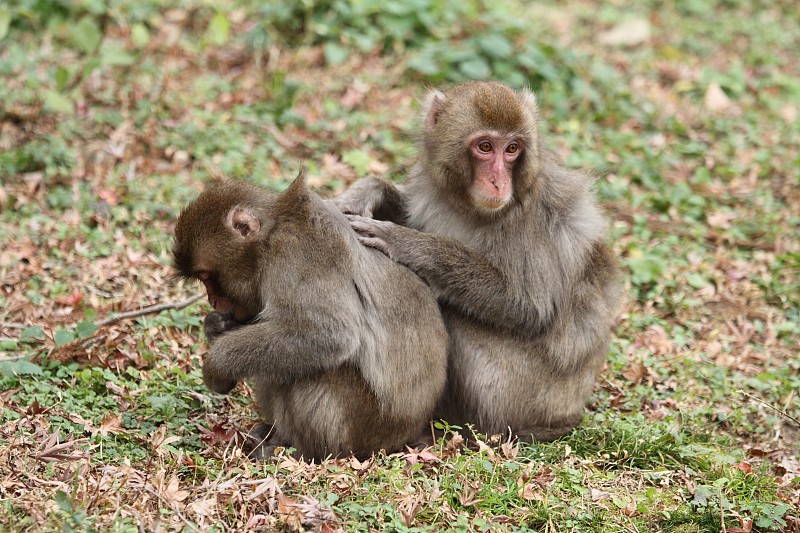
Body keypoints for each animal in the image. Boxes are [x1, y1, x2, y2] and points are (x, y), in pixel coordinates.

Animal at [173, 174, 450, 458]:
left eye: (207, 277)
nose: (212, 299)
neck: (272, 233)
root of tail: (406, 434)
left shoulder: (293, 255)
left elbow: (327, 334)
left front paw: (217, 365)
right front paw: (217, 326)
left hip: (360, 427)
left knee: (312, 366)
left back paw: (295, 449)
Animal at [340, 82, 624, 440]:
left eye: (512, 149)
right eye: (486, 147)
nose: (499, 182)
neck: (468, 206)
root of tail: (570, 412)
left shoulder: (532, 219)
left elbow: (528, 307)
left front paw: (407, 244)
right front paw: (369, 190)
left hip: (521, 395)